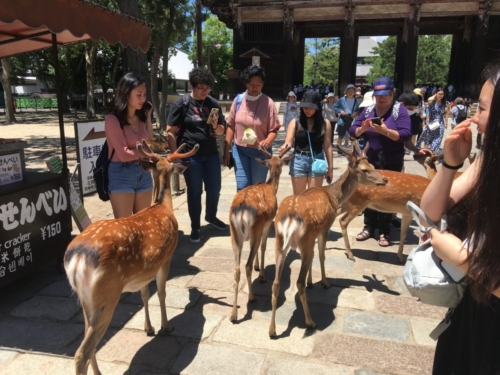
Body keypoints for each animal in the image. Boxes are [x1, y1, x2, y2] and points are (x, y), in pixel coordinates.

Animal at [61, 141, 196, 375]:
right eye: (171, 167)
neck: (162, 205)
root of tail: (77, 258)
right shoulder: (166, 258)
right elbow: (162, 293)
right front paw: (166, 326)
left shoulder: (142, 272)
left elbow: (144, 295)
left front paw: (148, 328)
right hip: (107, 294)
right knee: (81, 352)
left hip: (86, 298)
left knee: (89, 340)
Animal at [229, 145, 294, 322]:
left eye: (277, 162)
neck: (271, 186)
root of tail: (241, 209)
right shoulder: (267, 223)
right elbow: (264, 247)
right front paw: (262, 275)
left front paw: (259, 267)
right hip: (256, 228)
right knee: (247, 264)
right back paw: (252, 298)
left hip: (234, 234)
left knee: (236, 268)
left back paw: (233, 314)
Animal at [270, 142, 386, 336]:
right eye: (364, 170)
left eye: (372, 165)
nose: (385, 180)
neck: (333, 196)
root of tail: (289, 218)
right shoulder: (324, 229)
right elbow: (322, 256)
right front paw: (325, 283)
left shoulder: (313, 236)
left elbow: (313, 260)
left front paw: (311, 282)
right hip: (303, 240)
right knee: (298, 282)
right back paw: (310, 322)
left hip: (280, 243)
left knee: (276, 283)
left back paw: (272, 331)